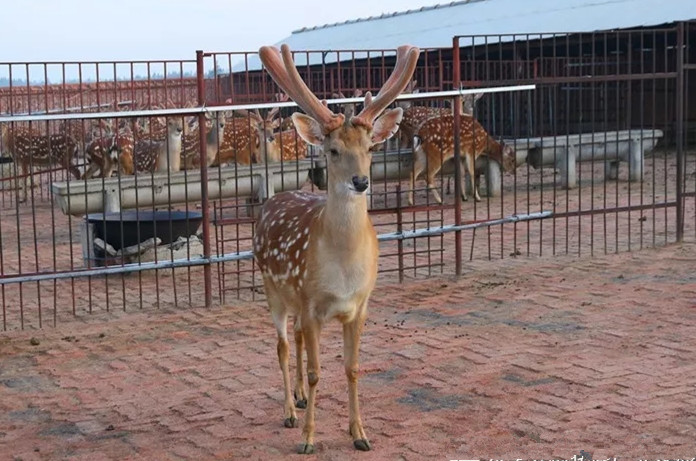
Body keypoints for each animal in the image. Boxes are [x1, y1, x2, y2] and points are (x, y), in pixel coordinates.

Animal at [256, 43, 418, 452]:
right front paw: (308, 438)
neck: (343, 270)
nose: (360, 181)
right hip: (272, 289)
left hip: (294, 299)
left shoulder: (359, 305)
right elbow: (317, 372)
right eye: (331, 150)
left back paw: (298, 399)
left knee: (296, 337)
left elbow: (352, 368)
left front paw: (360, 433)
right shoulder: (312, 303)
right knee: (282, 344)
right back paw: (290, 411)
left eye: (371, 147)